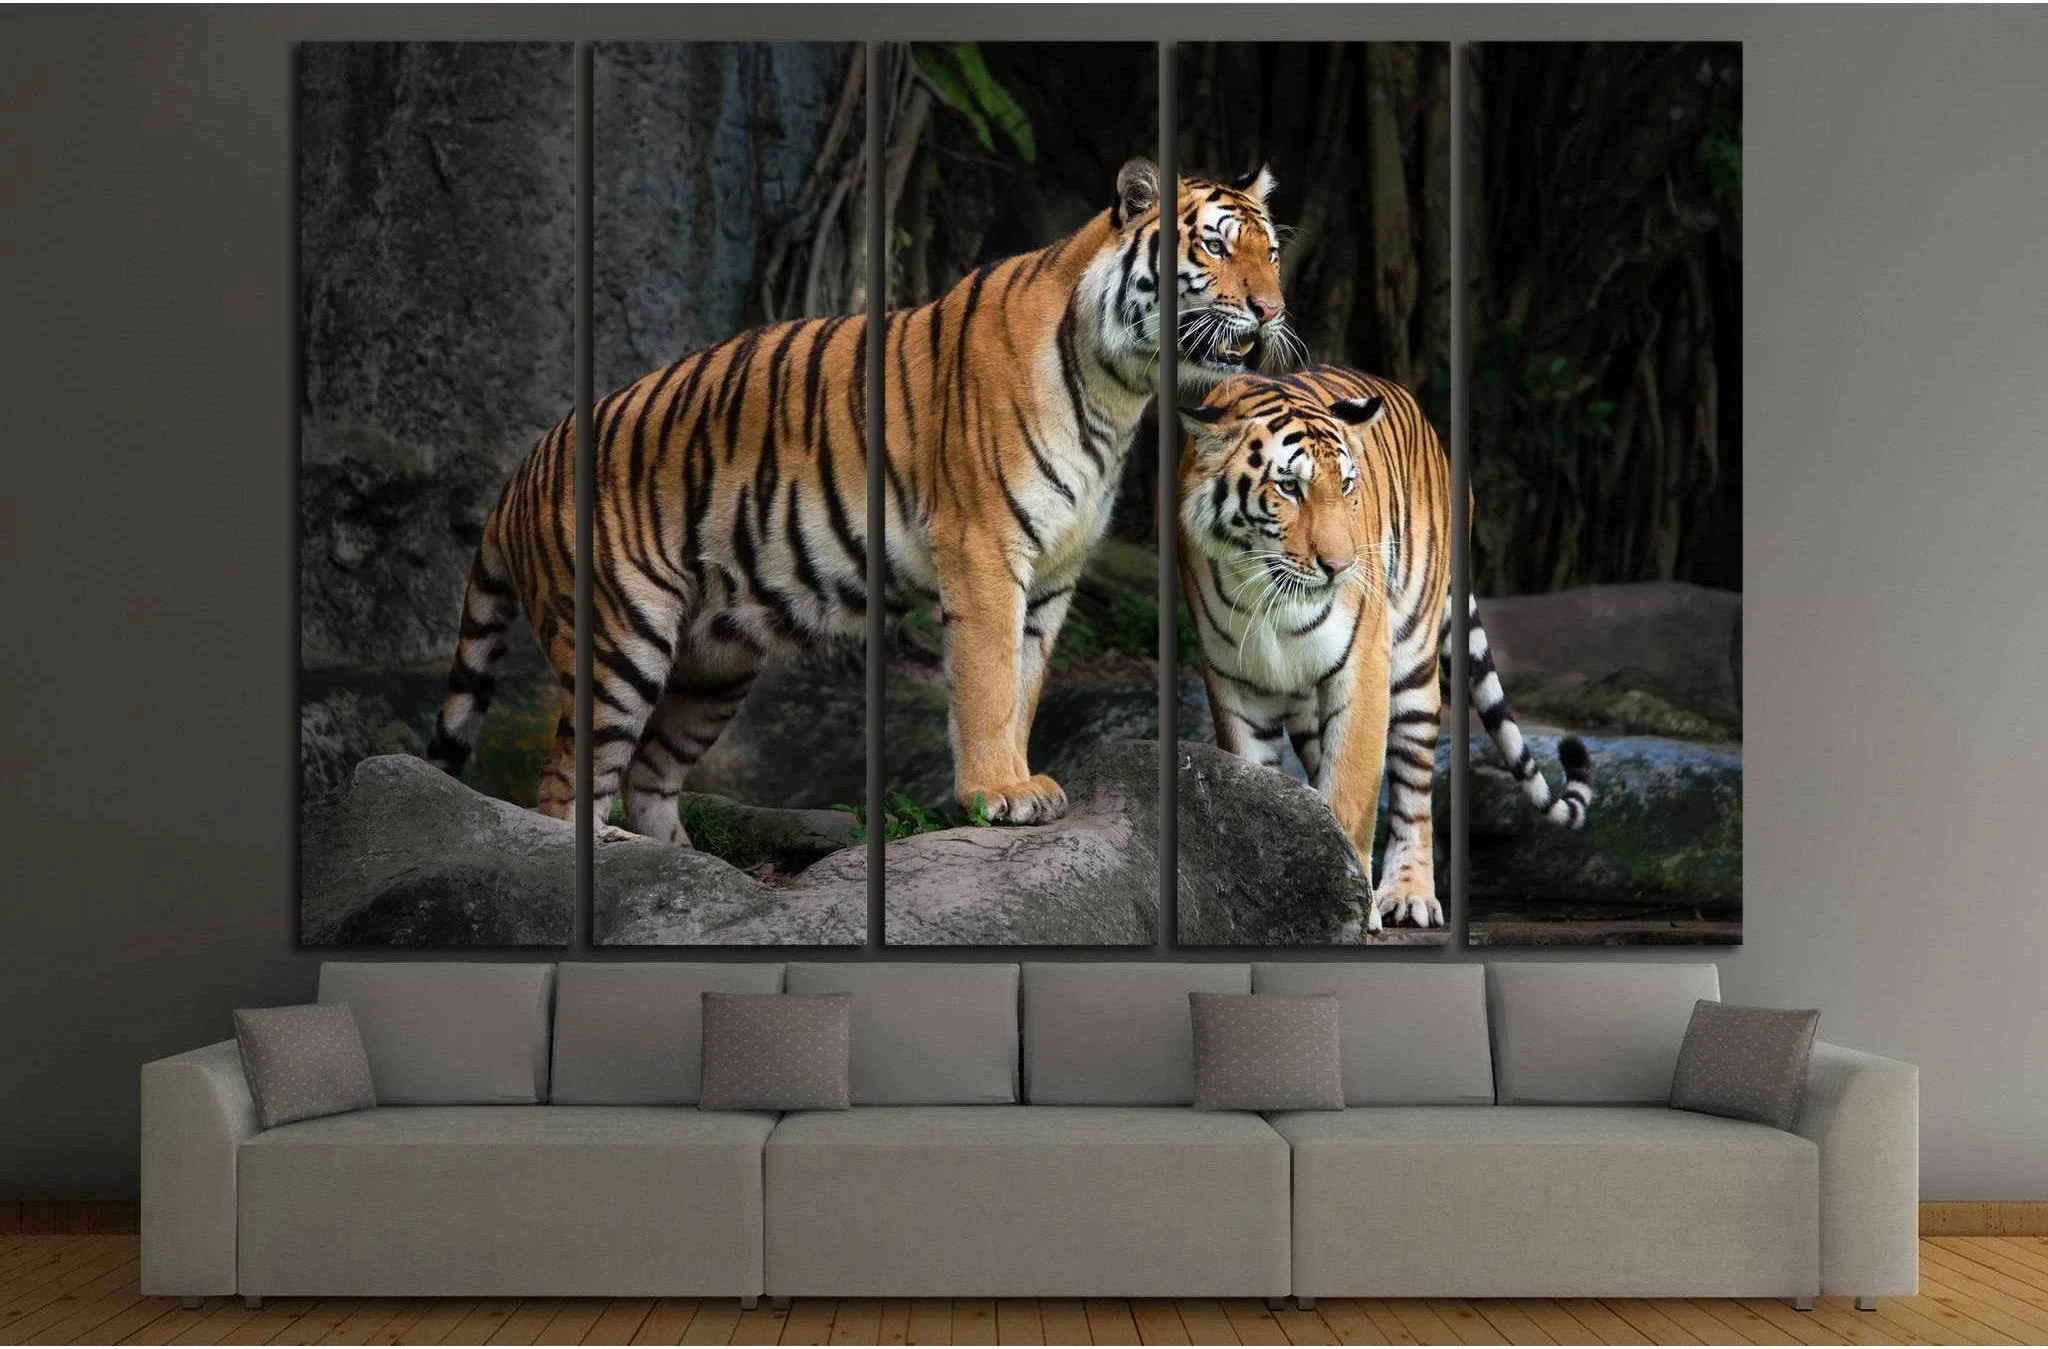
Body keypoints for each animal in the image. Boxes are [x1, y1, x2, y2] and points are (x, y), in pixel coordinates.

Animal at [426, 158, 1295, 843]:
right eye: (1214, 245)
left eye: (1273, 253)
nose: (1272, 311)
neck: (1121, 388)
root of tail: (523, 468)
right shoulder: (984, 548)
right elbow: (987, 680)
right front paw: (998, 792)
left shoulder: (1054, 571)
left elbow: (1024, 685)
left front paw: (1021, 778)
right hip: (618, 643)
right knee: (564, 781)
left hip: (714, 665)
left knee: (648, 777)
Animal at [1178, 366, 1594, 932]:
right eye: (1288, 487)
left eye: (1346, 486)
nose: (1341, 566)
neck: (1269, 596)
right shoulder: (1235, 684)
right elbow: (1255, 788)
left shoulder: (1361, 669)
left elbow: (1351, 794)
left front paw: (1349, 908)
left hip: (1413, 665)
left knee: (1412, 794)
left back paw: (1410, 895)